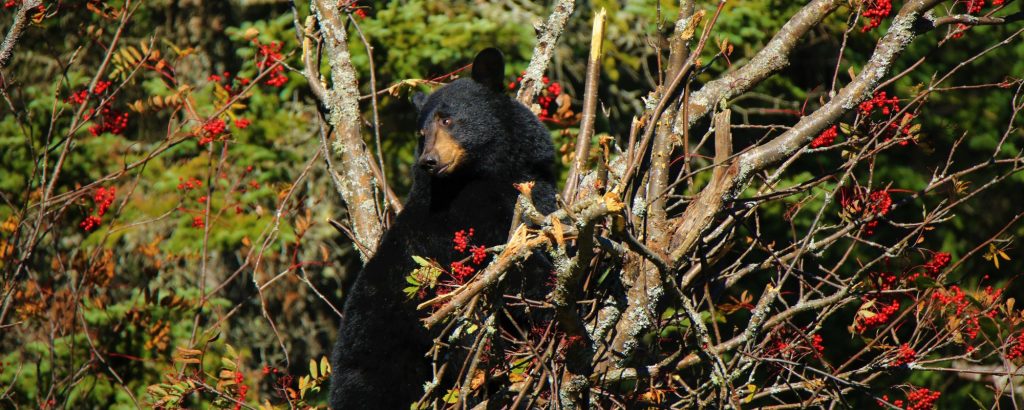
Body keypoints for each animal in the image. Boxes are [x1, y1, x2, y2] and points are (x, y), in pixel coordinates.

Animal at [330, 48, 557, 409]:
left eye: (448, 120)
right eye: (421, 134)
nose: (429, 161)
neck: (483, 174)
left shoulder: (532, 186)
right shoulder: (467, 220)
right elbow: (511, 269)